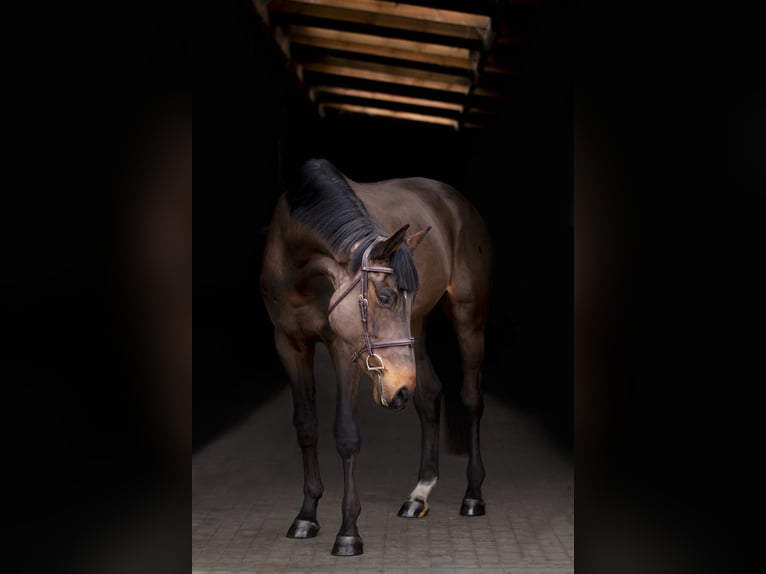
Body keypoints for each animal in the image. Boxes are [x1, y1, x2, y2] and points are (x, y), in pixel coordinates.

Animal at [259, 158, 492, 556]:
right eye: (385, 298)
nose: (397, 389)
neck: (299, 265)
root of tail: (457, 201)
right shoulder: (289, 343)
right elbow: (306, 427)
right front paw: (306, 516)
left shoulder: (343, 348)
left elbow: (346, 433)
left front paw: (348, 532)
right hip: (418, 331)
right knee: (428, 395)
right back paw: (419, 494)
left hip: (466, 317)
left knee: (471, 399)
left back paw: (473, 495)